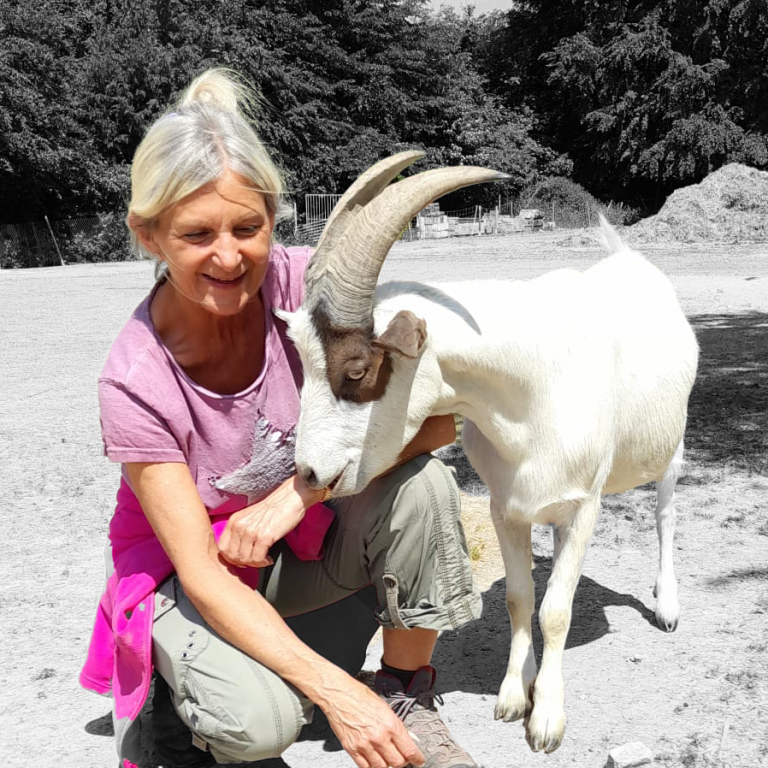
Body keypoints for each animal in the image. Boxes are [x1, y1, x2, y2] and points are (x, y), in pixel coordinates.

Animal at [276, 151, 699, 753]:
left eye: (357, 370)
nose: (310, 473)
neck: (533, 383)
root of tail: (630, 261)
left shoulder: (585, 505)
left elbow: (556, 609)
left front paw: (547, 719)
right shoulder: (506, 506)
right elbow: (521, 598)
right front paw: (515, 693)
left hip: (672, 446)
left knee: (665, 512)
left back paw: (666, 606)